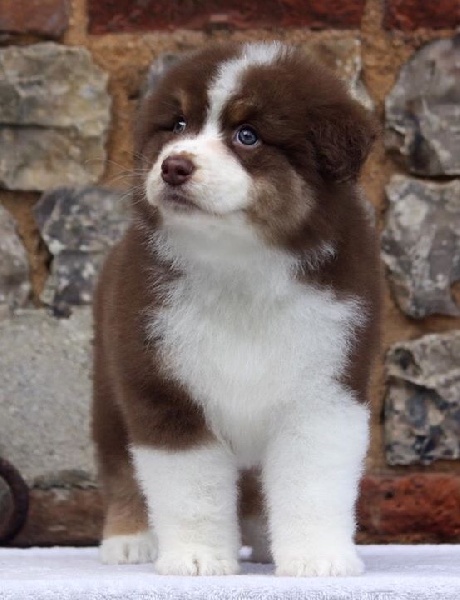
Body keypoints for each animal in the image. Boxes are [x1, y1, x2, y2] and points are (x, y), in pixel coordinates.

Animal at [92, 41, 380, 577]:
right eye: (177, 124)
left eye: (248, 136)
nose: (174, 166)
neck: (239, 266)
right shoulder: (162, 388)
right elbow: (191, 490)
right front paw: (197, 558)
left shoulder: (326, 388)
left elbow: (312, 482)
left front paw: (317, 558)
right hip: (108, 389)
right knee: (120, 466)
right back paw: (130, 539)